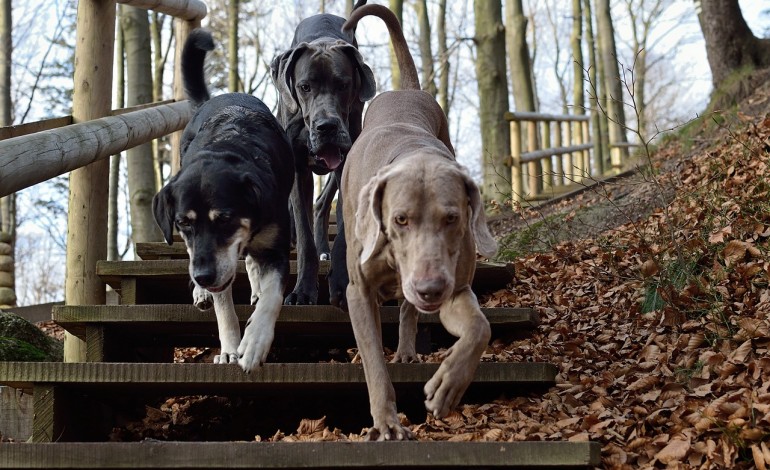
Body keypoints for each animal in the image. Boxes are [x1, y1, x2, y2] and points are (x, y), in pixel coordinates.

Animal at [152, 30, 292, 374]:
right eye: (183, 223)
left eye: (225, 218)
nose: (203, 276)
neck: (230, 145)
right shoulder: (214, 261)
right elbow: (224, 308)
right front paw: (230, 349)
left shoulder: (275, 246)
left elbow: (273, 297)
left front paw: (255, 343)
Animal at [270, 0, 376, 308]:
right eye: (305, 87)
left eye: (343, 85)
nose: (326, 126)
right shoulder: (297, 168)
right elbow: (304, 235)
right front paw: (303, 291)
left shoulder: (346, 161)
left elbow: (343, 226)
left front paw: (340, 283)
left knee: (321, 203)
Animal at [342, 5, 498, 440]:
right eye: (400, 219)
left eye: (453, 218)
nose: (429, 288)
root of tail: (405, 89)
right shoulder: (358, 291)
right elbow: (373, 361)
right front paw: (386, 422)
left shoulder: (456, 288)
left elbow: (480, 328)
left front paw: (448, 385)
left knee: (410, 312)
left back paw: (409, 350)